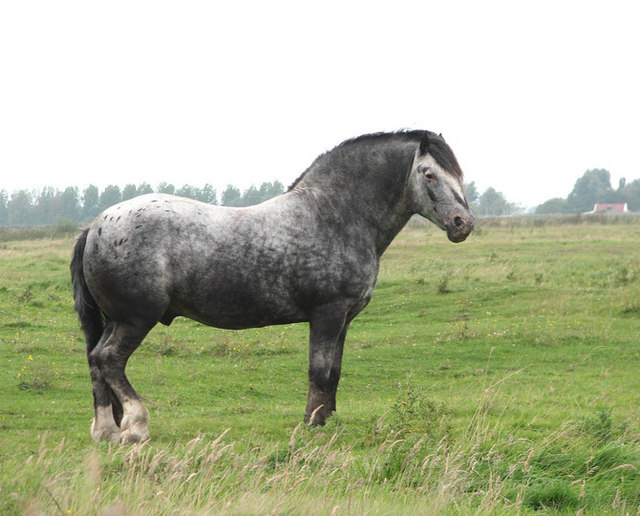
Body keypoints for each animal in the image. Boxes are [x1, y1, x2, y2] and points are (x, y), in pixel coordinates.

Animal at [71, 130, 474, 443]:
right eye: (429, 175)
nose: (463, 223)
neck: (334, 216)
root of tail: (95, 226)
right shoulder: (327, 313)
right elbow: (319, 370)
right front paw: (312, 422)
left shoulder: (344, 319)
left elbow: (335, 371)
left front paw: (327, 418)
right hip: (135, 319)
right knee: (109, 359)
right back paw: (136, 426)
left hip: (114, 319)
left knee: (95, 362)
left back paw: (106, 430)